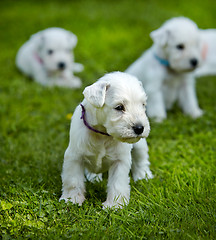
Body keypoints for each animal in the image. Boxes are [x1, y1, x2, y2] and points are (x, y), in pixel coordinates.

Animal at [60, 71, 153, 208]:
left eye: (143, 105)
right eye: (119, 107)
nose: (140, 128)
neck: (103, 134)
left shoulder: (120, 161)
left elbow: (117, 184)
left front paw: (114, 205)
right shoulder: (74, 157)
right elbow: (73, 181)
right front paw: (72, 199)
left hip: (140, 145)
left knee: (141, 159)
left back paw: (143, 175)